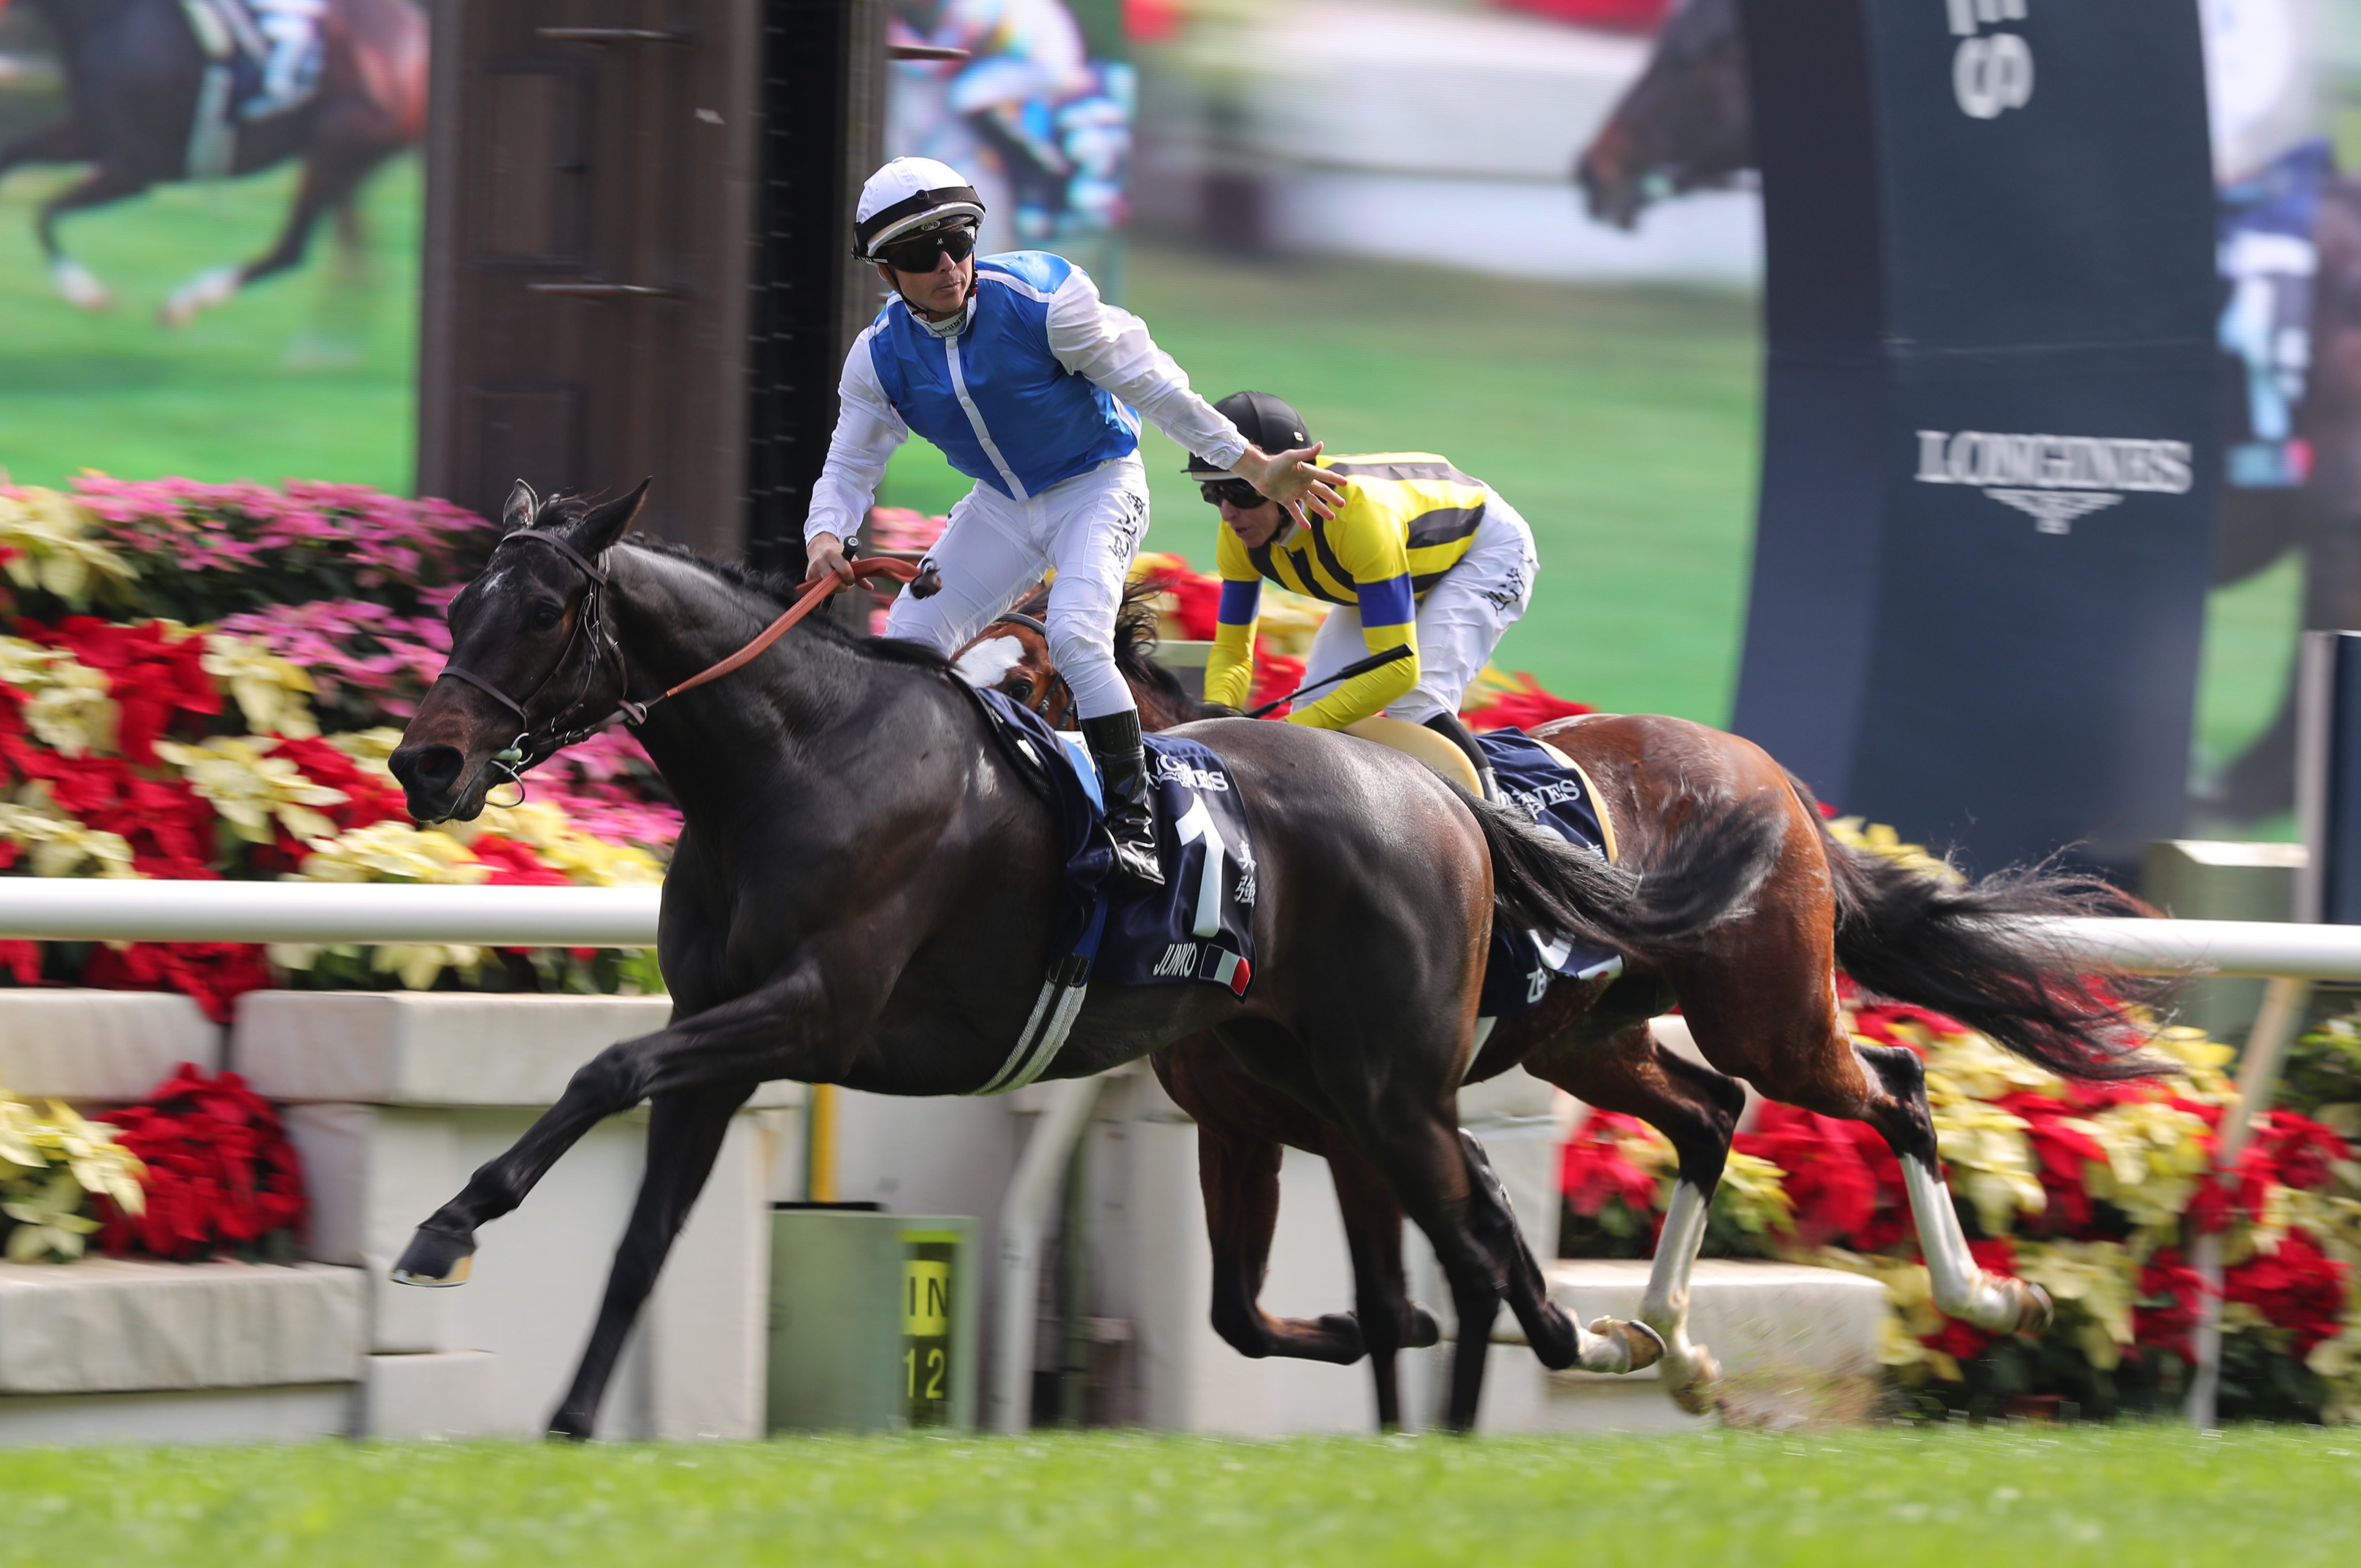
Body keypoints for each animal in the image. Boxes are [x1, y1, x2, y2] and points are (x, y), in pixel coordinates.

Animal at [0, 0, 425, 321]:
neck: (114, 19)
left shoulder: (136, 169)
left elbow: (46, 211)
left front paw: (88, 294)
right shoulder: (91, 137)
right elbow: (15, 159)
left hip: (336, 148)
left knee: (292, 251)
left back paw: (186, 304)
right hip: (345, 160)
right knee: (356, 254)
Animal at [378, 484, 1775, 1435]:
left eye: (546, 611)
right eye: (456, 606)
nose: (424, 763)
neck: (796, 759)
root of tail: (1435, 795)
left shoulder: (812, 1012)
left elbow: (603, 1071)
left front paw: (447, 1224)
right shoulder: (721, 1037)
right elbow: (642, 1233)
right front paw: (570, 1419)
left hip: (1386, 1081)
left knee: (1479, 1243)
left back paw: (1585, 1366)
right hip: (1329, 1083)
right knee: (1457, 1233)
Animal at [967, 604, 2163, 1426]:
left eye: (1030, 684)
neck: (1256, 867)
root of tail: (1774, 776)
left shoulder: (1373, 1120)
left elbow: (1437, 1280)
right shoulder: (1249, 1127)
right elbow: (1257, 1314)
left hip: (1768, 1016)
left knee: (1895, 1085)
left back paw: (1992, 1300)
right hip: (1597, 1039)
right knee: (1708, 1115)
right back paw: (1672, 1349)